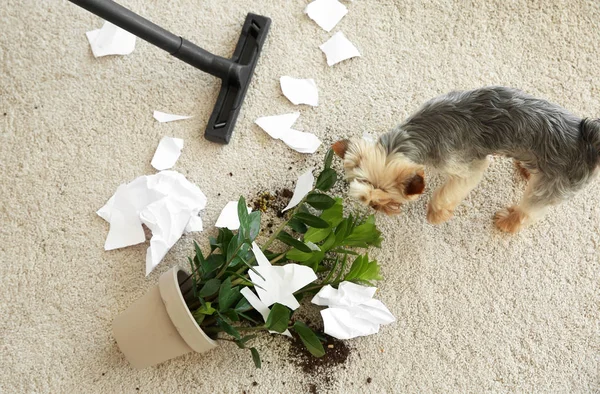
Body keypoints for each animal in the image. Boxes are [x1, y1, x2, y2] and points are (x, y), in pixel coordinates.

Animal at [332, 87, 600, 231]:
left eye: (384, 200)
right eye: (366, 199)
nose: (375, 209)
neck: (412, 137)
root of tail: (587, 139)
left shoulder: (467, 167)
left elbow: (446, 192)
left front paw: (435, 214)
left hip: (551, 186)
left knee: (529, 210)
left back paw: (508, 222)